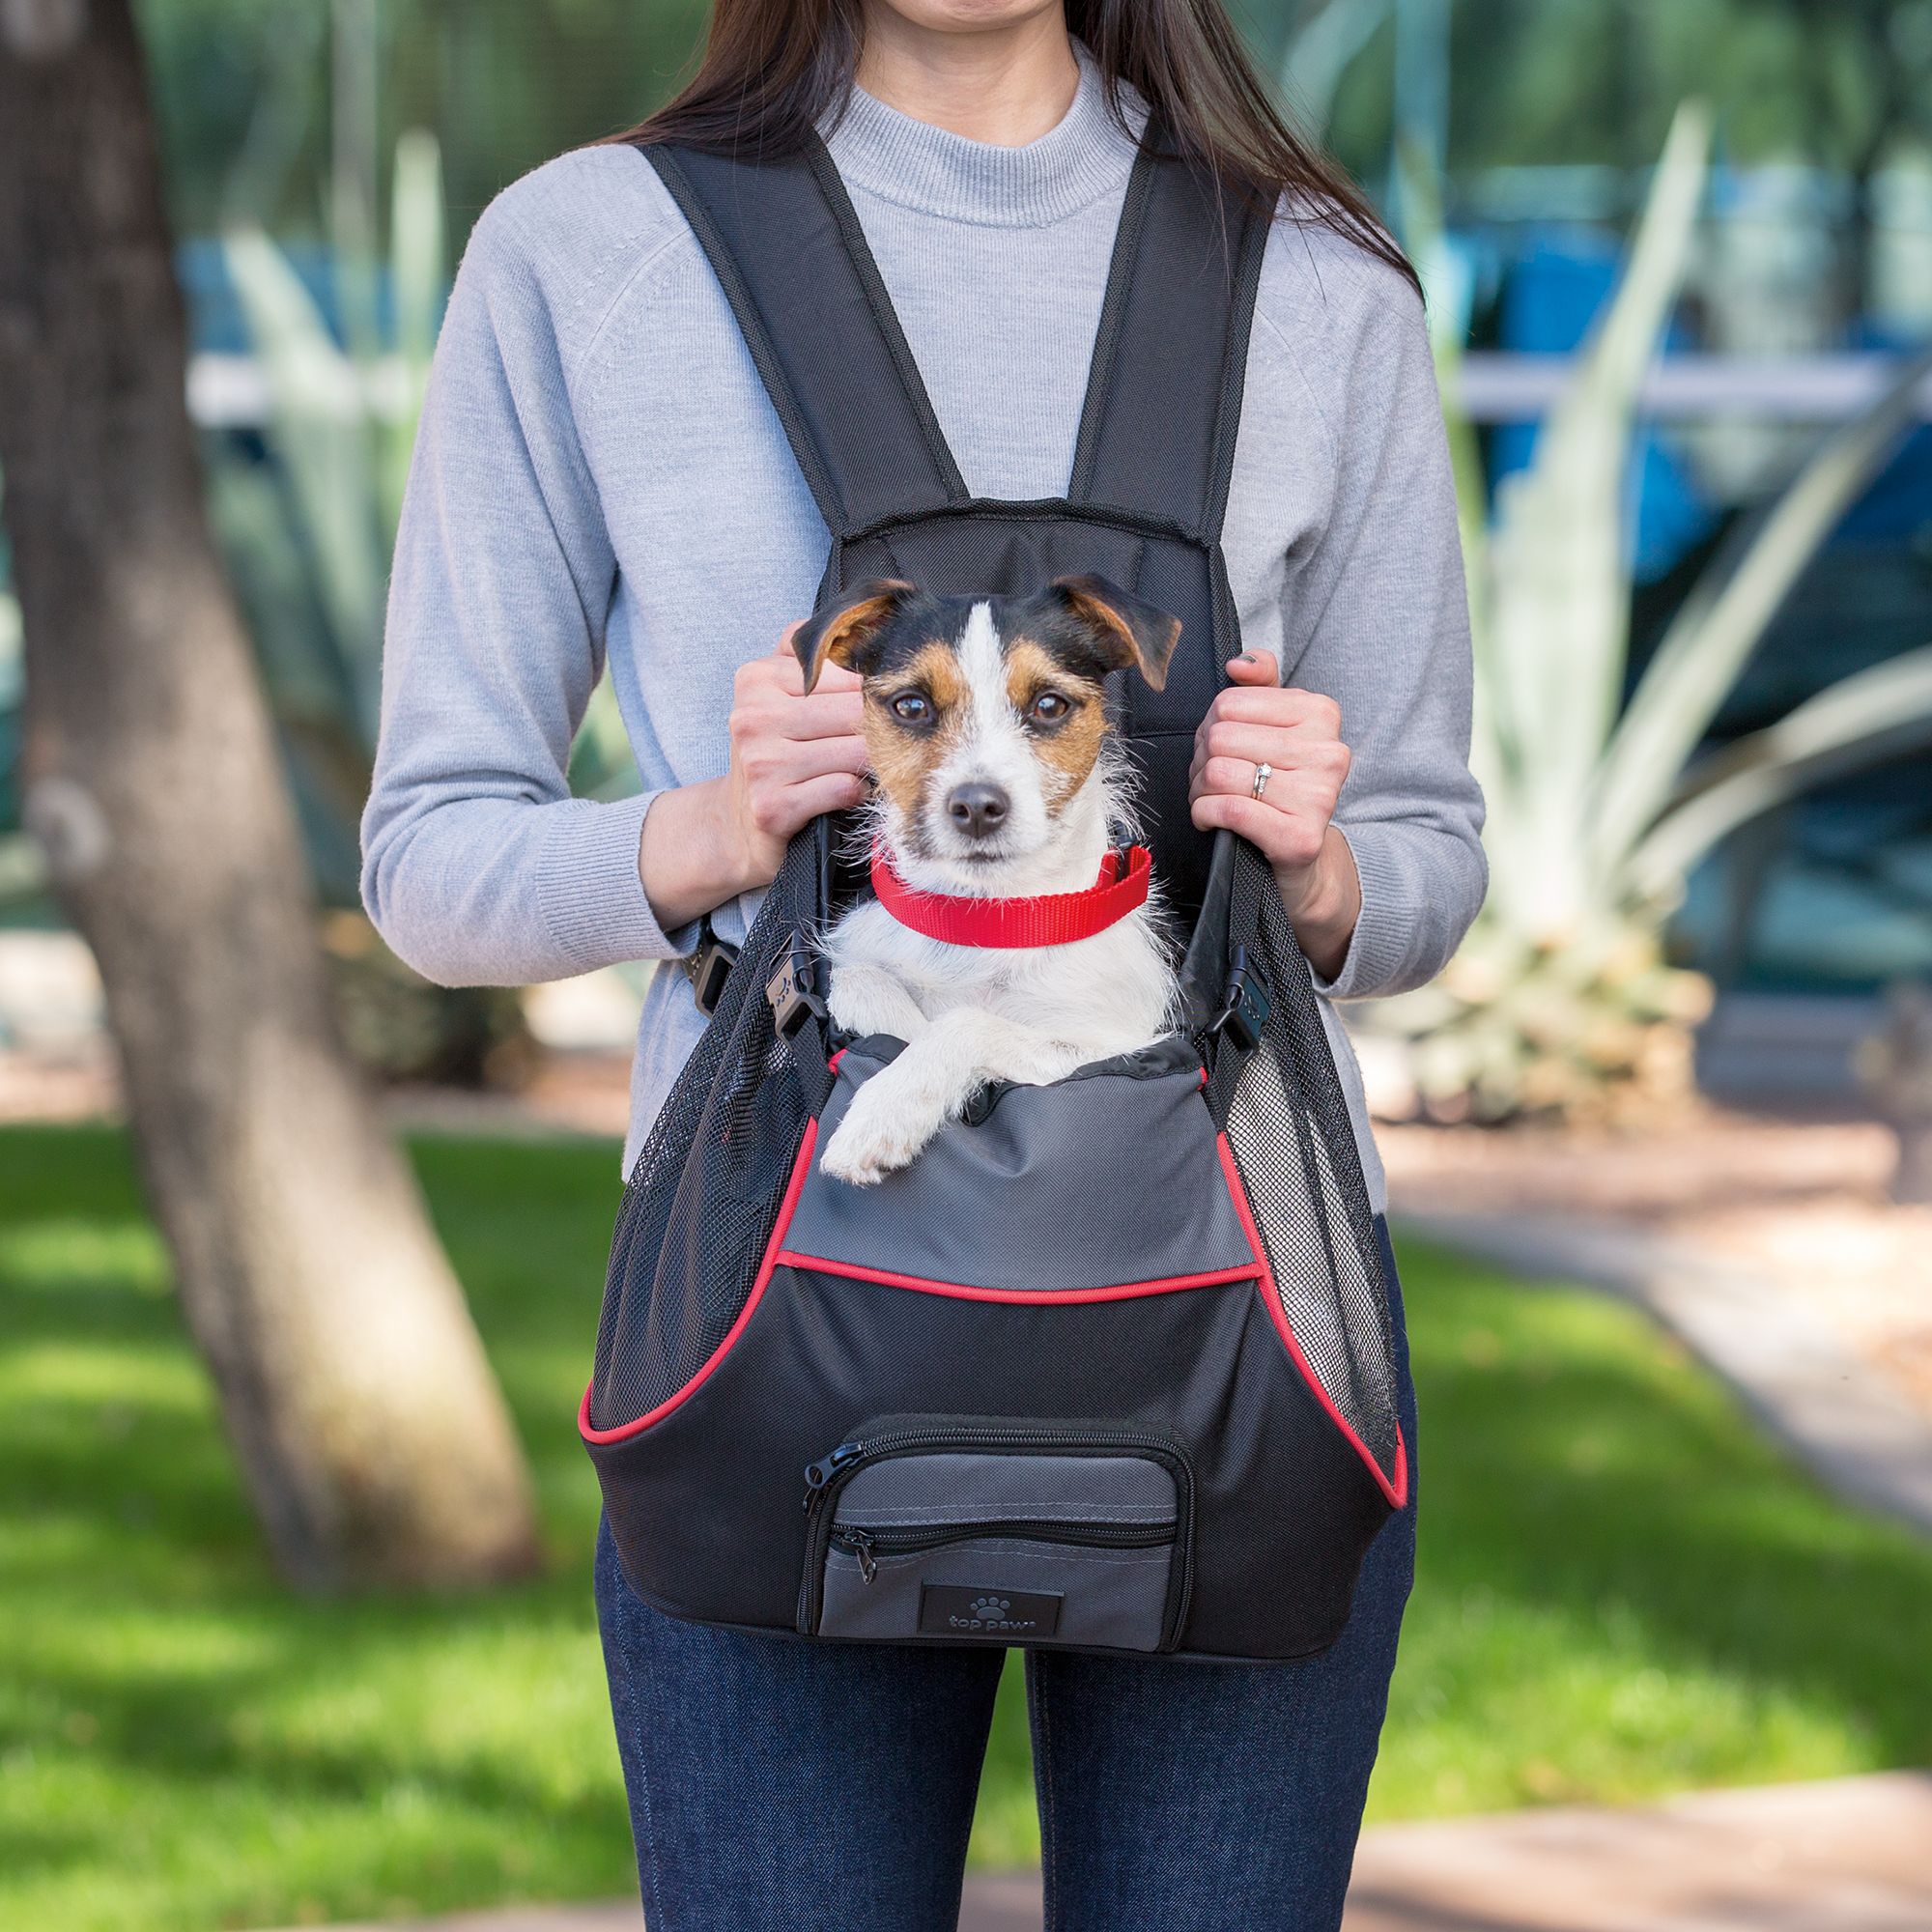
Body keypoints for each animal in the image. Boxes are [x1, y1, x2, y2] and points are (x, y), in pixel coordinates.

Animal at [792, 572, 1182, 1182]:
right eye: (911, 705)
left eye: (1049, 705)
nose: (977, 806)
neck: (984, 916)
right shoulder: (856, 954)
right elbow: (858, 982)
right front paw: (899, 1040)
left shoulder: (1116, 1045)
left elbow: (968, 1024)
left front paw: (885, 1108)